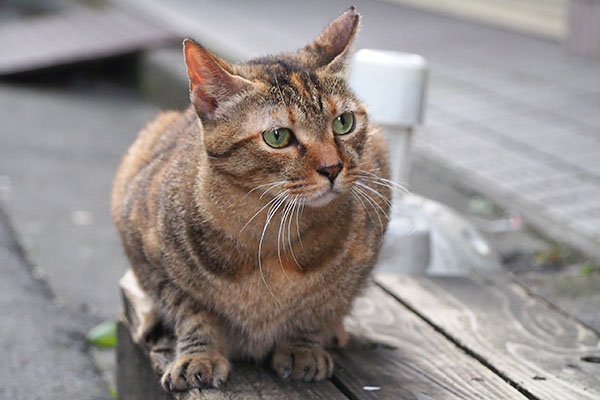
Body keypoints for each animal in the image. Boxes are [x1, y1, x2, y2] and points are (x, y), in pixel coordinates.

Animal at [112, 7, 392, 394]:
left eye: (344, 122)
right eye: (277, 137)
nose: (333, 167)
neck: (269, 237)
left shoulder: (356, 264)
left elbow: (316, 308)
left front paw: (303, 348)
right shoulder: (149, 254)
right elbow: (191, 312)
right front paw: (198, 355)